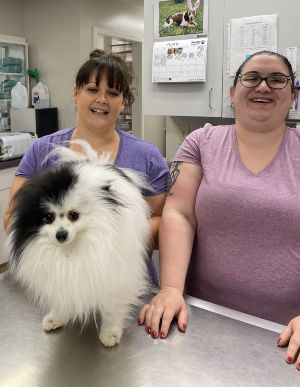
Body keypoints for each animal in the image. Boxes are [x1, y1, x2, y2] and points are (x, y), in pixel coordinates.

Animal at [7, 142, 150, 348]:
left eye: (74, 215)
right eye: (48, 218)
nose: (61, 234)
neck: (71, 251)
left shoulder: (114, 273)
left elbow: (112, 306)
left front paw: (110, 332)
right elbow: (61, 298)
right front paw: (57, 317)